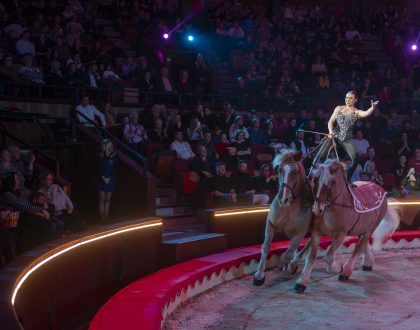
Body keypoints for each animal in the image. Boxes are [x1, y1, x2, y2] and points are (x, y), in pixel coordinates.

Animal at [251, 150, 314, 286]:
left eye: (295, 172)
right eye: (279, 170)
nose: (283, 198)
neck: (288, 207)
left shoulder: (299, 234)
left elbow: (287, 255)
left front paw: (289, 266)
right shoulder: (270, 225)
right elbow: (265, 247)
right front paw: (259, 275)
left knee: (307, 245)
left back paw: (293, 263)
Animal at [296, 161, 400, 292]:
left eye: (332, 181)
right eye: (314, 179)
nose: (316, 209)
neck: (333, 207)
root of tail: (381, 190)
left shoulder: (341, 234)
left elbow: (328, 256)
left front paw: (335, 268)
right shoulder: (316, 232)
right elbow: (311, 256)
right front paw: (301, 282)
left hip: (371, 228)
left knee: (359, 247)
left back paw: (346, 272)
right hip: (362, 227)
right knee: (363, 244)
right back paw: (367, 263)